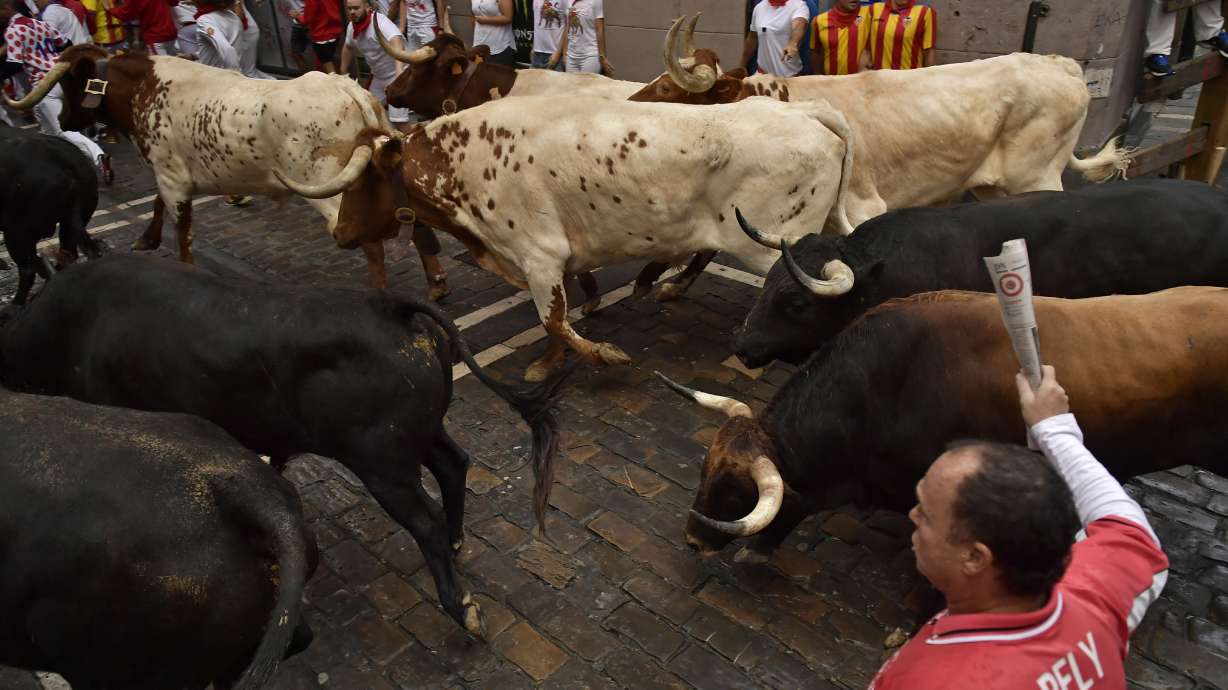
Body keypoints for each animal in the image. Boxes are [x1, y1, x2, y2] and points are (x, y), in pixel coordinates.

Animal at [0, 253, 570, 637]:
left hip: (383, 462)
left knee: (425, 519)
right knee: (454, 466)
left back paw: (463, 609)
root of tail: (387, 305)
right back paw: (456, 541)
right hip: (418, 437)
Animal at [274, 94, 856, 381]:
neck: (468, 159)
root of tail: (802, 109)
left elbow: (551, 318)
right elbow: (558, 316)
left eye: (363, 180)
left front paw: (598, 357)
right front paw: (560, 350)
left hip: (774, 245)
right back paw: (661, 282)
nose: (340, 232)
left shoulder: (538, 255)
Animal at [628, 24, 1131, 300]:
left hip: (1037, 177)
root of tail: (1062, 63)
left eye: (668, 88)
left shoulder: (861, 206)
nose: (627, 102)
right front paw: (661, 279)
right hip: (992, 186)